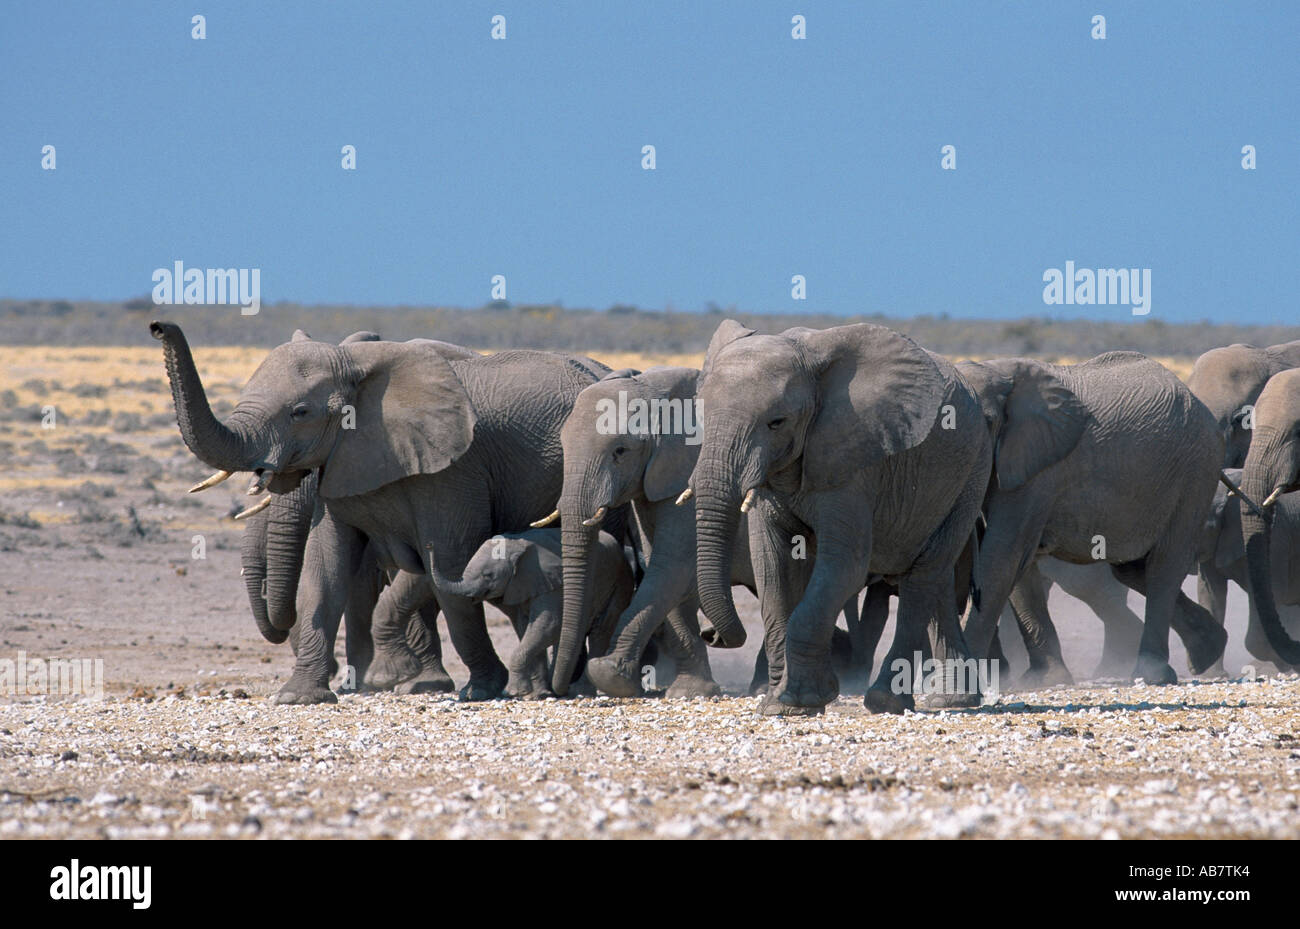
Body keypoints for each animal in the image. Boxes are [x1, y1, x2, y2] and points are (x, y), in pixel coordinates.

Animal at [151, 320, 610, 704]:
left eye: (301, 413)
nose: (158, 326)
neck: (358, 366)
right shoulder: (344, 467)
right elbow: (327, 570)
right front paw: (301, 697)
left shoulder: (455, 469)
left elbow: (447, 565)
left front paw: (472, 690)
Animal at [688, 320, 994, 716]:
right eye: (700, 418)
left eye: (776, 423)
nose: (710, 633)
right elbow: (772, 564)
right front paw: (779, 703)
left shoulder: (854, 462)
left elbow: (844, 566)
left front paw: (799, 701)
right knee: (936, 577)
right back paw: (953, 699)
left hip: (971, 474)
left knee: (923, 576)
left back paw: (886, 700)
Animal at [957, 352, 1229, 687]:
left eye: (987, 421)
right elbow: (1017, 565)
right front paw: (1045, 680)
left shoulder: (1040, 469)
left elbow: (1004, 556)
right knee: (1133, 570)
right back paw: (1209, 648)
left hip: (1196, 471)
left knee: (1164, 566)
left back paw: (1152, 674)